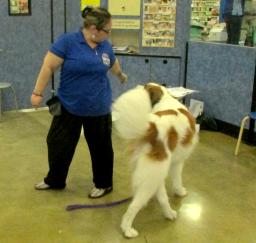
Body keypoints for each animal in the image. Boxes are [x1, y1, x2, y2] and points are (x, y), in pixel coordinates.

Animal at [112, 83, 198, 237]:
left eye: (146, 87)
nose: (139, 86)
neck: (165, 98)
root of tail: (152, 129)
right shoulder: (177, 163)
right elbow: (177, 180)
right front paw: (180, 191)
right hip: (155, 173)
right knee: (134, 206)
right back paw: (127, 229)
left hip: (154, 173)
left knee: (161, 197)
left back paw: (169, 213)